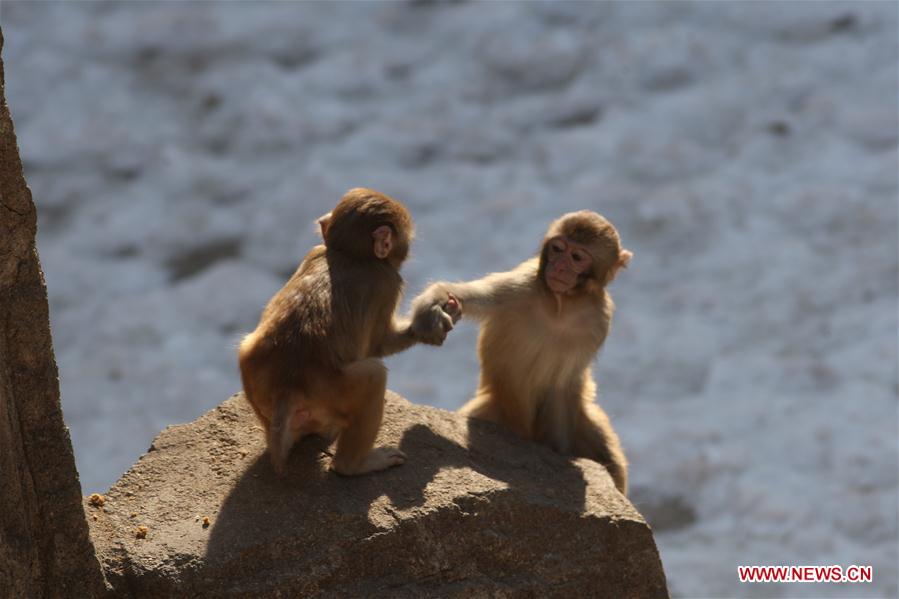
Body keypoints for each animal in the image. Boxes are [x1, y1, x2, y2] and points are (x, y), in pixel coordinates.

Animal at [239, 188, 460, 478]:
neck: (349, 254)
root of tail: (288, 387)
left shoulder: (314, 251)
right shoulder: (387, 282)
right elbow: (379, 345)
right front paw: (429, 324)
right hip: (335, 390)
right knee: (373, 378)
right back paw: (355, 464)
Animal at [410, 213, 632, 494]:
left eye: (576, 257)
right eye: (557, 249)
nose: (559, 268)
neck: (561, 305)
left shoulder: (598, 322)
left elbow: (562, 385)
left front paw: (560, 454)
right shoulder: (519, 285)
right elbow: (471, 296)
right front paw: (435, 305)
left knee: (609, 458)